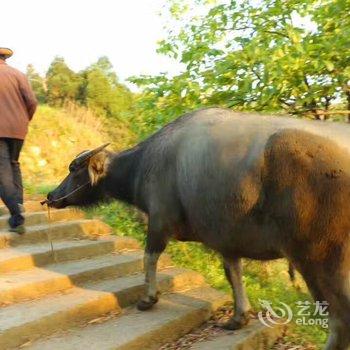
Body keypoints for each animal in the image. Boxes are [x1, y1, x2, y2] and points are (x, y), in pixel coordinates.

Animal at [46, 108, 350, 348]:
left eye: (73, 169)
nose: (51, 195)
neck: (143, 166)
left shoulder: (159, 221)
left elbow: (149, 257)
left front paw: (148, 299)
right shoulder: (226, 238)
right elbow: (233, 273)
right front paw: (238, 317)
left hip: (319, 258)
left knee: (339, 317)